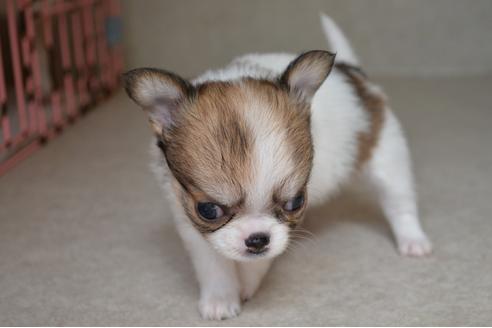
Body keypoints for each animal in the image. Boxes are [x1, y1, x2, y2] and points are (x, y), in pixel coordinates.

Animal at [123, 14, 430, 320]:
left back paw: (412, 240)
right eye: (208, 210)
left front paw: (246, 285)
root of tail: (352, 72)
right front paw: (221, 298)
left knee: (399, 202)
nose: (258, 240)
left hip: (387, 155)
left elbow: (256, 261)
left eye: (295, 202)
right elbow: (213, 264)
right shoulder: (189, 219)